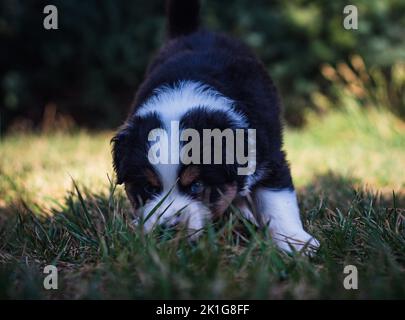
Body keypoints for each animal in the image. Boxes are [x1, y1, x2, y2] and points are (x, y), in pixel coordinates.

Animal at [111, 0, 318, 254]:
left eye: (197, 185)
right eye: (149, 188)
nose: (168, 230)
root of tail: (193, 32)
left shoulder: (268, 157)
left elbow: (278, 200)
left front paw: (296, 243)